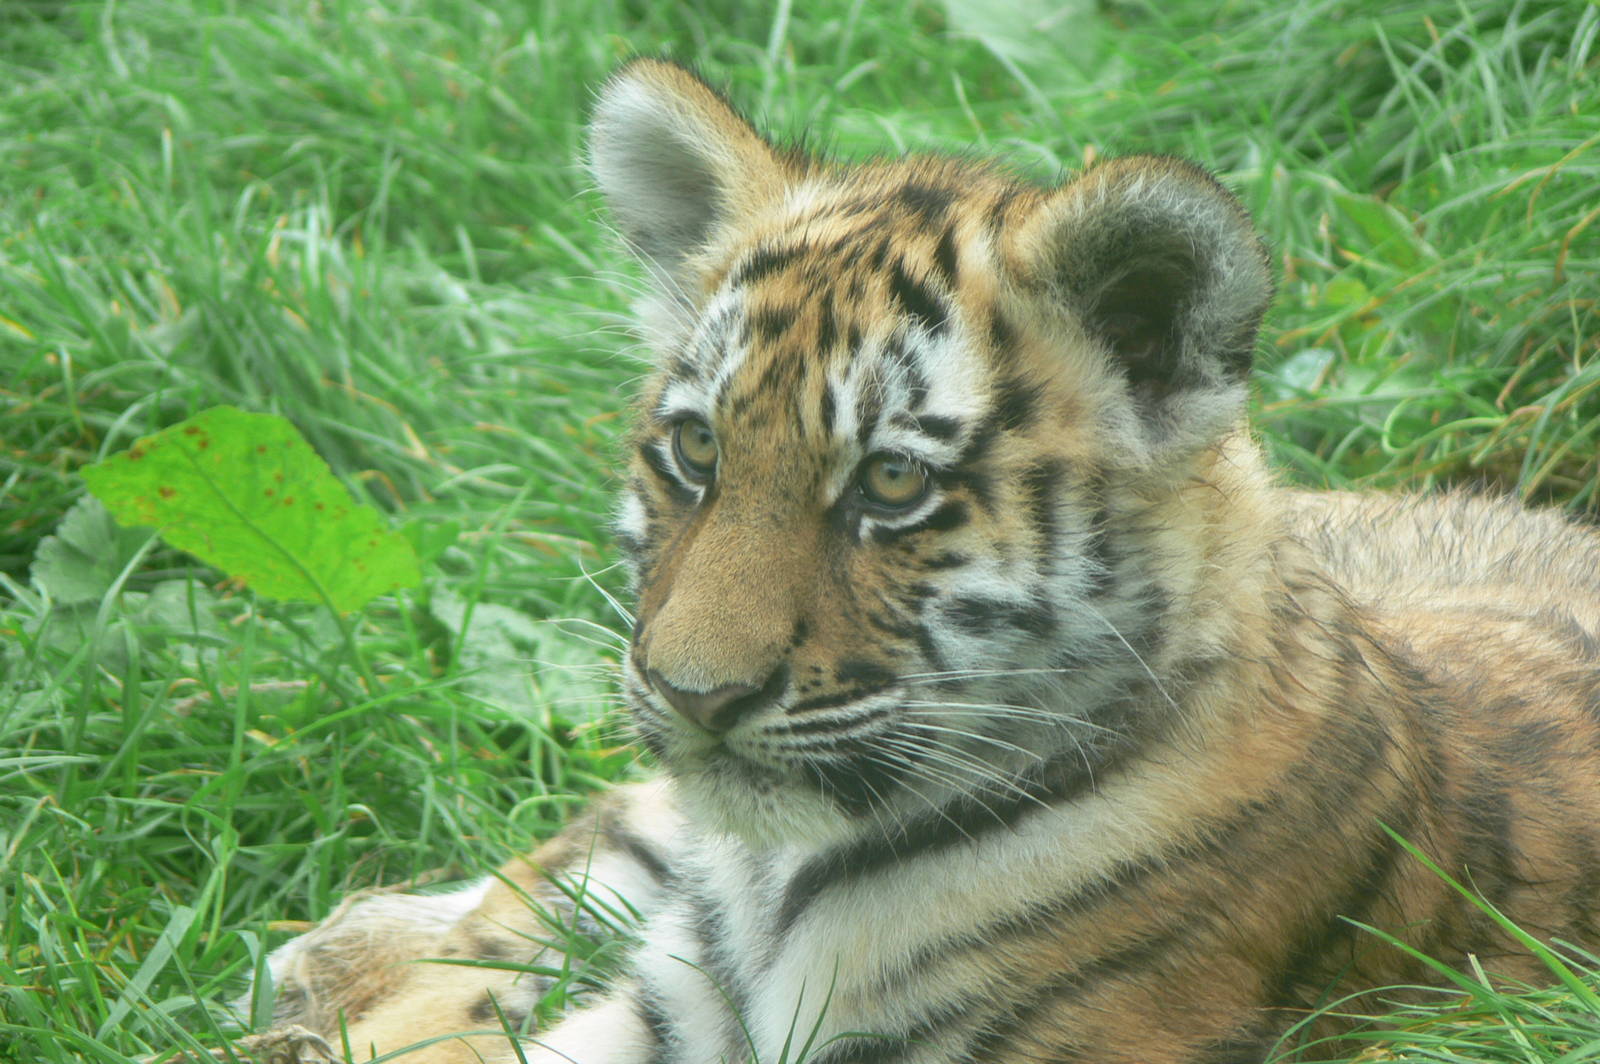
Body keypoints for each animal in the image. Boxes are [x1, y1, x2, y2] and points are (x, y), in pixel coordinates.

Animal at [245, 59, 1600, 1064]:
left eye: (891, 484)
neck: (780, 877)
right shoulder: (669, 1005)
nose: (694, 693)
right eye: (696, 449)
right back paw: (330, 967)